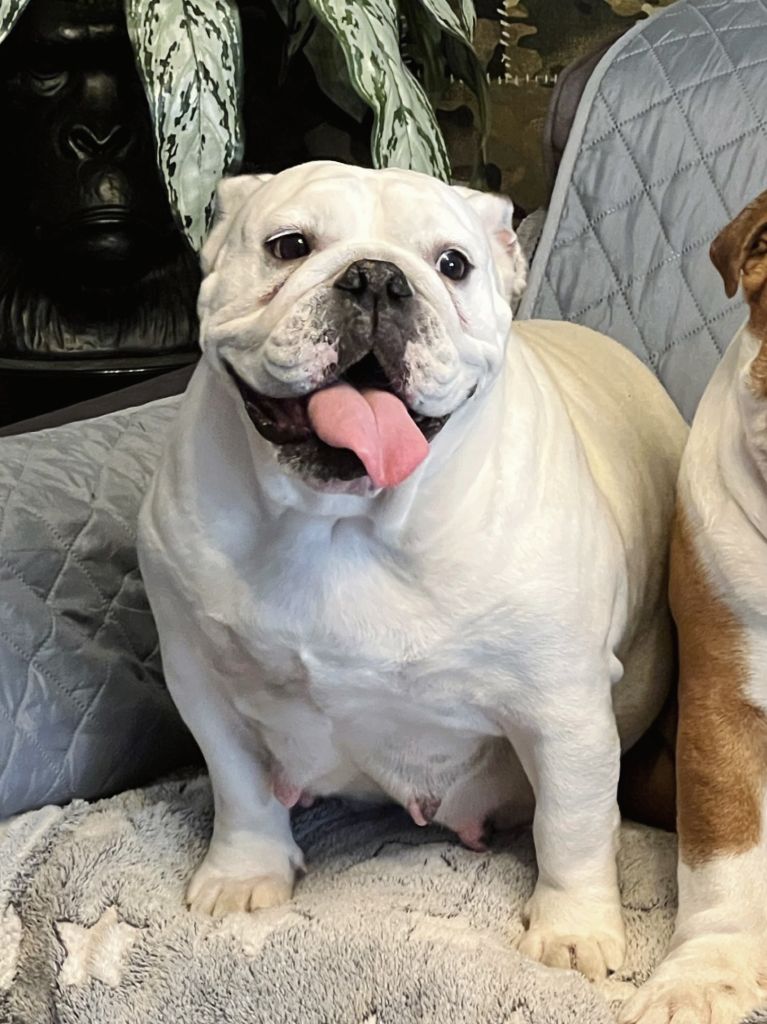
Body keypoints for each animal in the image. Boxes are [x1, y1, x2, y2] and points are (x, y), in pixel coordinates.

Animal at [137, 161, 686, 980]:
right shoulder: (204, 684)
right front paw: (243, 874)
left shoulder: (564, 709)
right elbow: (239, 789)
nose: (375, 278)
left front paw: (573, 929)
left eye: (452, 264)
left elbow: (574, 823)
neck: (343, 520)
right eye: (288, 245)